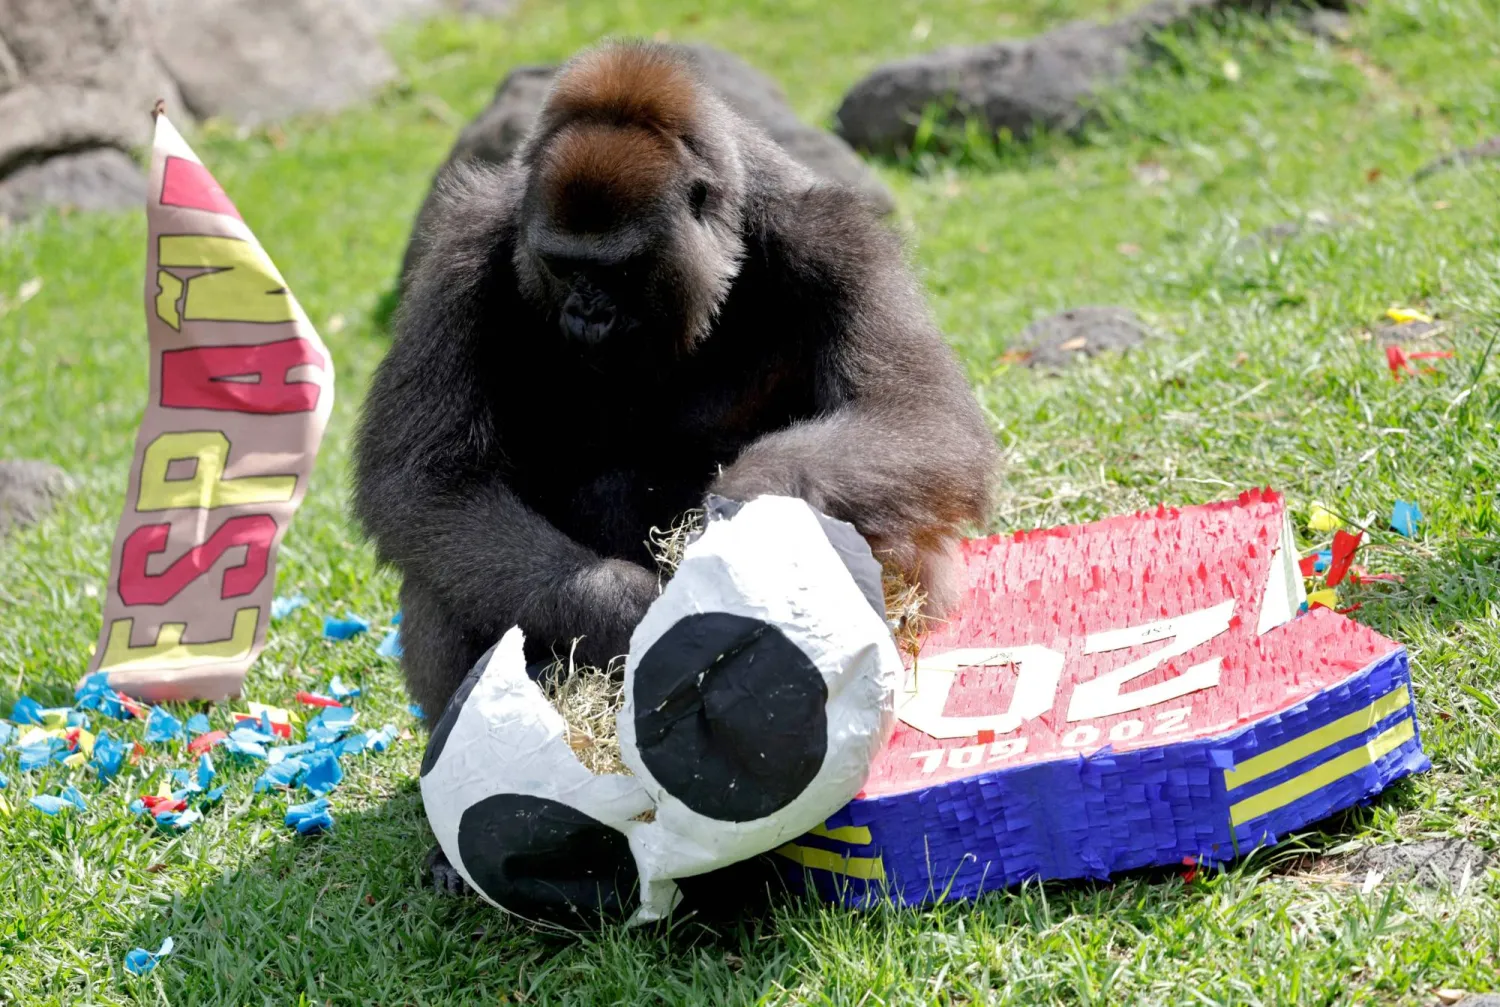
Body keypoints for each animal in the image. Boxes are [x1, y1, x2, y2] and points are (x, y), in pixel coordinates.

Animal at [353, 41, 997, 889]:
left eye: (619, 271)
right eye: (562, 266)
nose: (586, 314)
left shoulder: (836, 235)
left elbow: (919, 419)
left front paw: (746, 508)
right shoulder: (462, 248)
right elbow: (426, 483)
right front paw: (624, 607)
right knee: (447, 573)